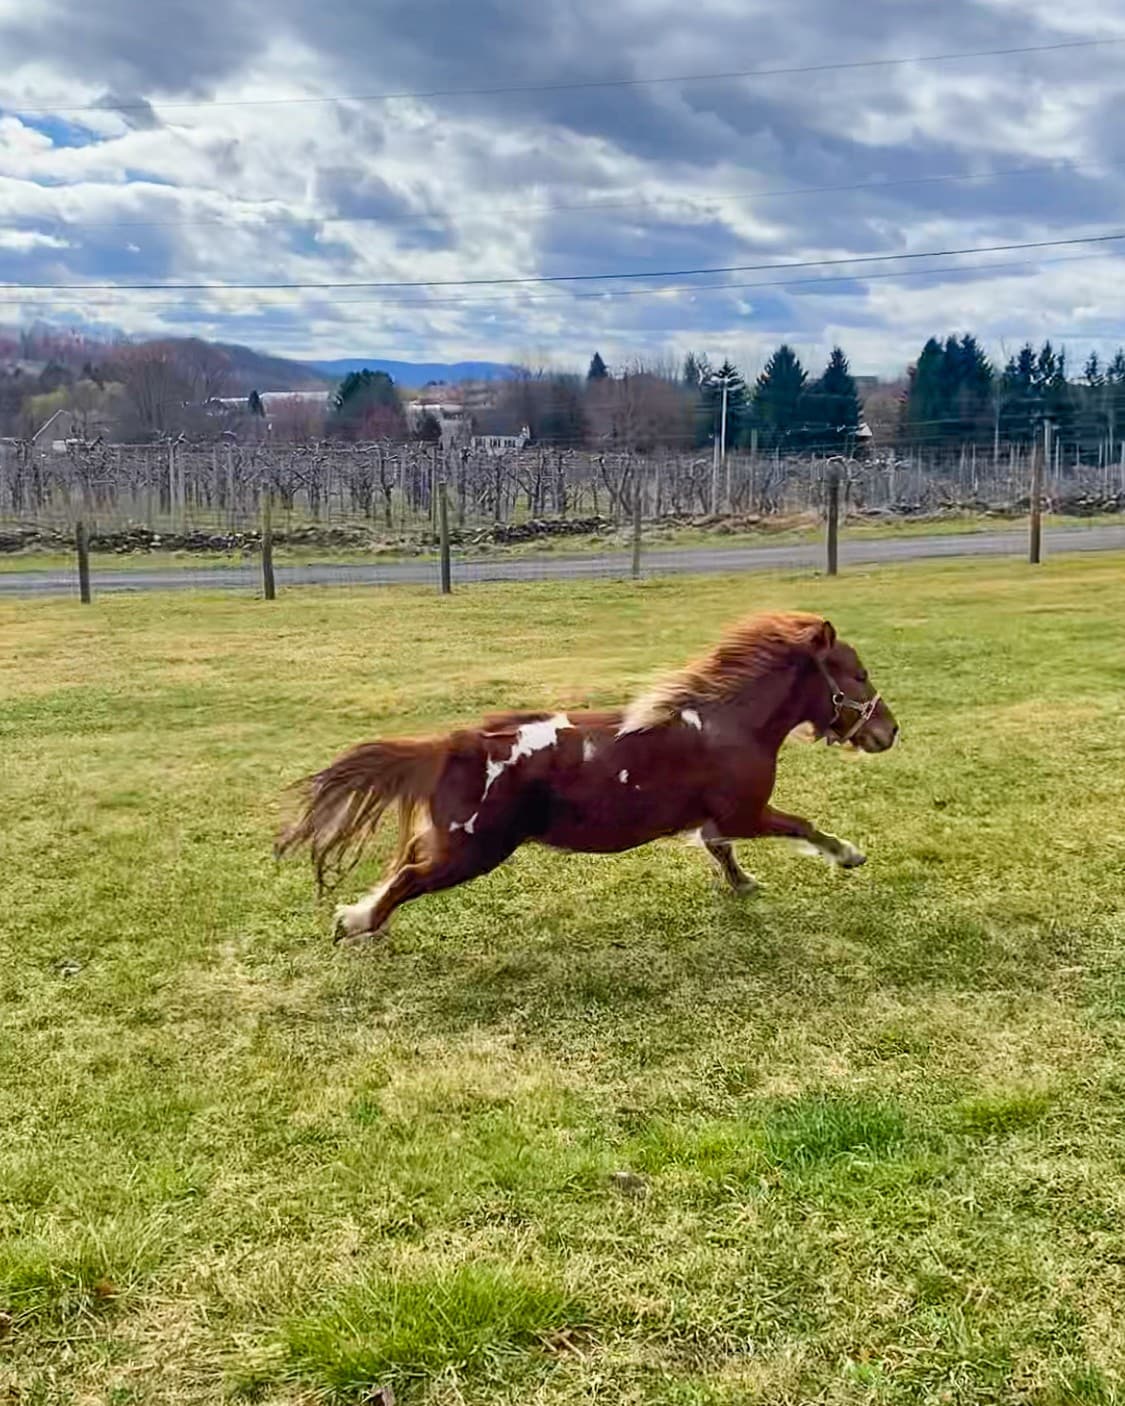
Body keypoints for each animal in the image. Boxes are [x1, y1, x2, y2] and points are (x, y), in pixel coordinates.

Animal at [277, 610, 900, 939]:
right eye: (859, 674)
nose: (889, 731)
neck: (729, 721)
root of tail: (454, 745)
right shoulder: (748, 812)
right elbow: (803, 826)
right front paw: (850, 855)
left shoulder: (715, 819)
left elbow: (719, 849)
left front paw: (743, 884)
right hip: (473, 851)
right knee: (408, 877)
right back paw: (360, 922)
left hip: (453, 842)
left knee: (403, 863)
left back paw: (359, 915)